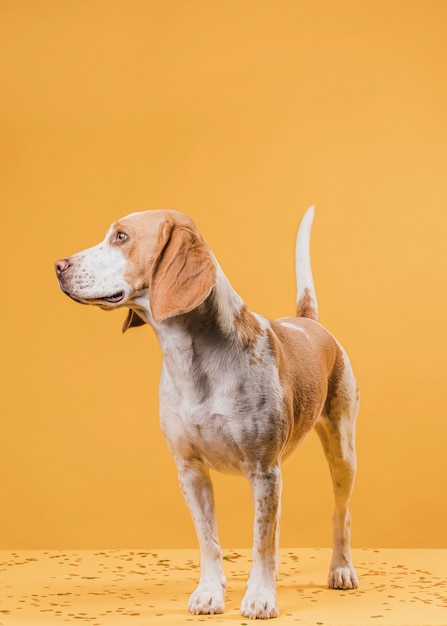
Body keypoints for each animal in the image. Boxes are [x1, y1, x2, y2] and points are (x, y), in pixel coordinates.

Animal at [55, 207, 360, 616]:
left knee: (341, 514)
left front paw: (260, 596)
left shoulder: (263, 471)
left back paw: (341, 569)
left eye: (121, 237)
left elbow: (261, 542)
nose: (58, 265)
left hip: (342, 452)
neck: (193, 362)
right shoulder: (190, 471)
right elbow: (208, 539)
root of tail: (310, 324)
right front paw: (210, 593)